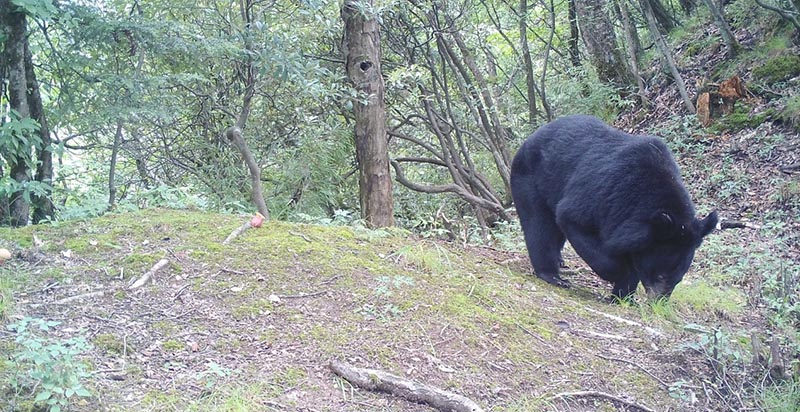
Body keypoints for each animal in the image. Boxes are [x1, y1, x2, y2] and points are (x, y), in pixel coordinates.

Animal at [512, 115, 720, 300]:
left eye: (679, 279)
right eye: (661, 275)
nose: (659, 302)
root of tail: (529, 139)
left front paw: (623, 296)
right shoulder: (604, 194)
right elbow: (571, 218)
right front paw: (619, 274)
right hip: (531, 181)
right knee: (539, 226)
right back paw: (552, 275)